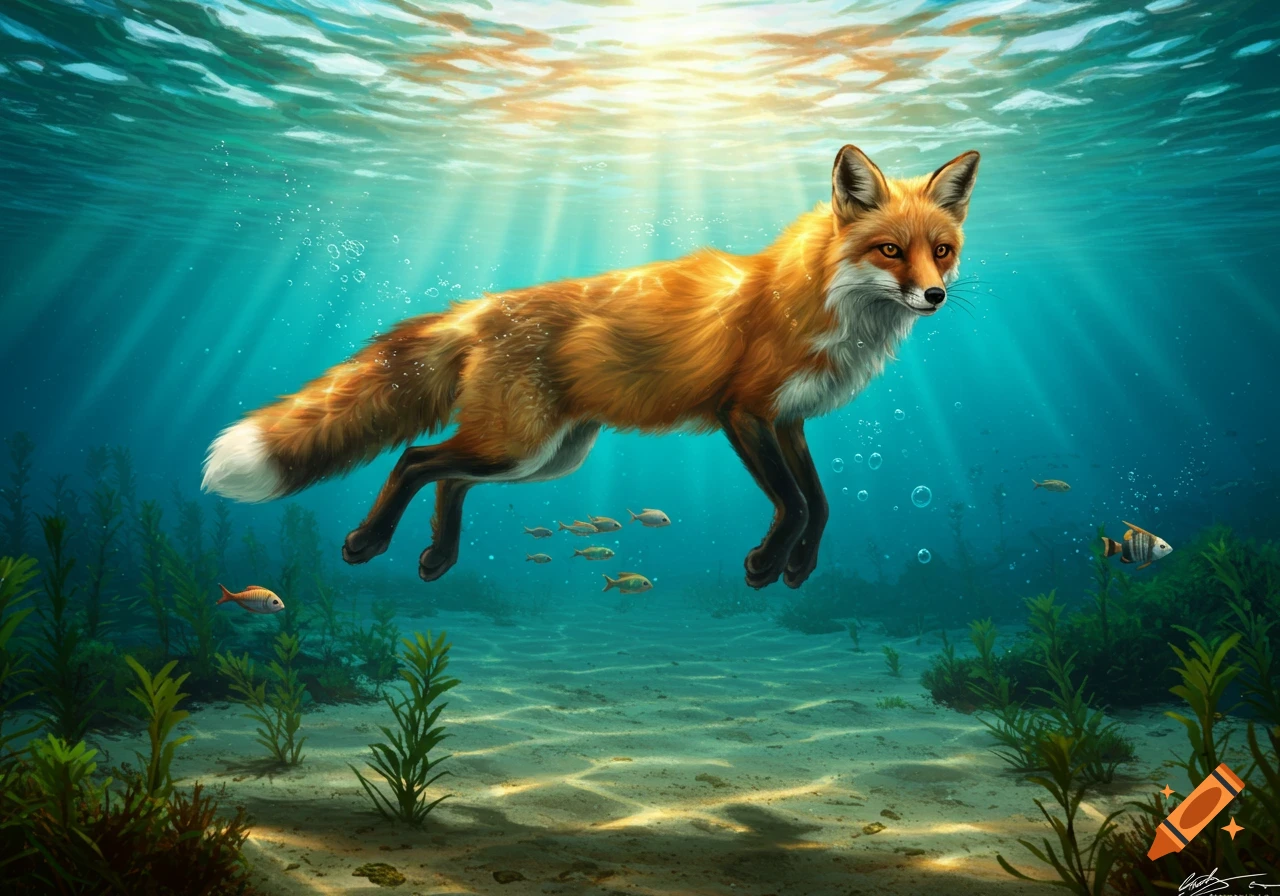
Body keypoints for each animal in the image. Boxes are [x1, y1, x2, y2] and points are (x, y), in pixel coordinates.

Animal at [201, 144, 980, 590]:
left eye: (940, 250)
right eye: (889, 251)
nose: (935, 296)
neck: (819, 298)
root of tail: (483, 306)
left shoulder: (789, 421)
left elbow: (820, 502)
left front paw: (799, 566)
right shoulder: (745, 411)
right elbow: (790, 501)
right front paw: (766, 565)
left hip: (547, 457)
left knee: (447, 477)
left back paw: (437, 558)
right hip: (519, 444)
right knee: (416, 460)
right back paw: (370, 541)